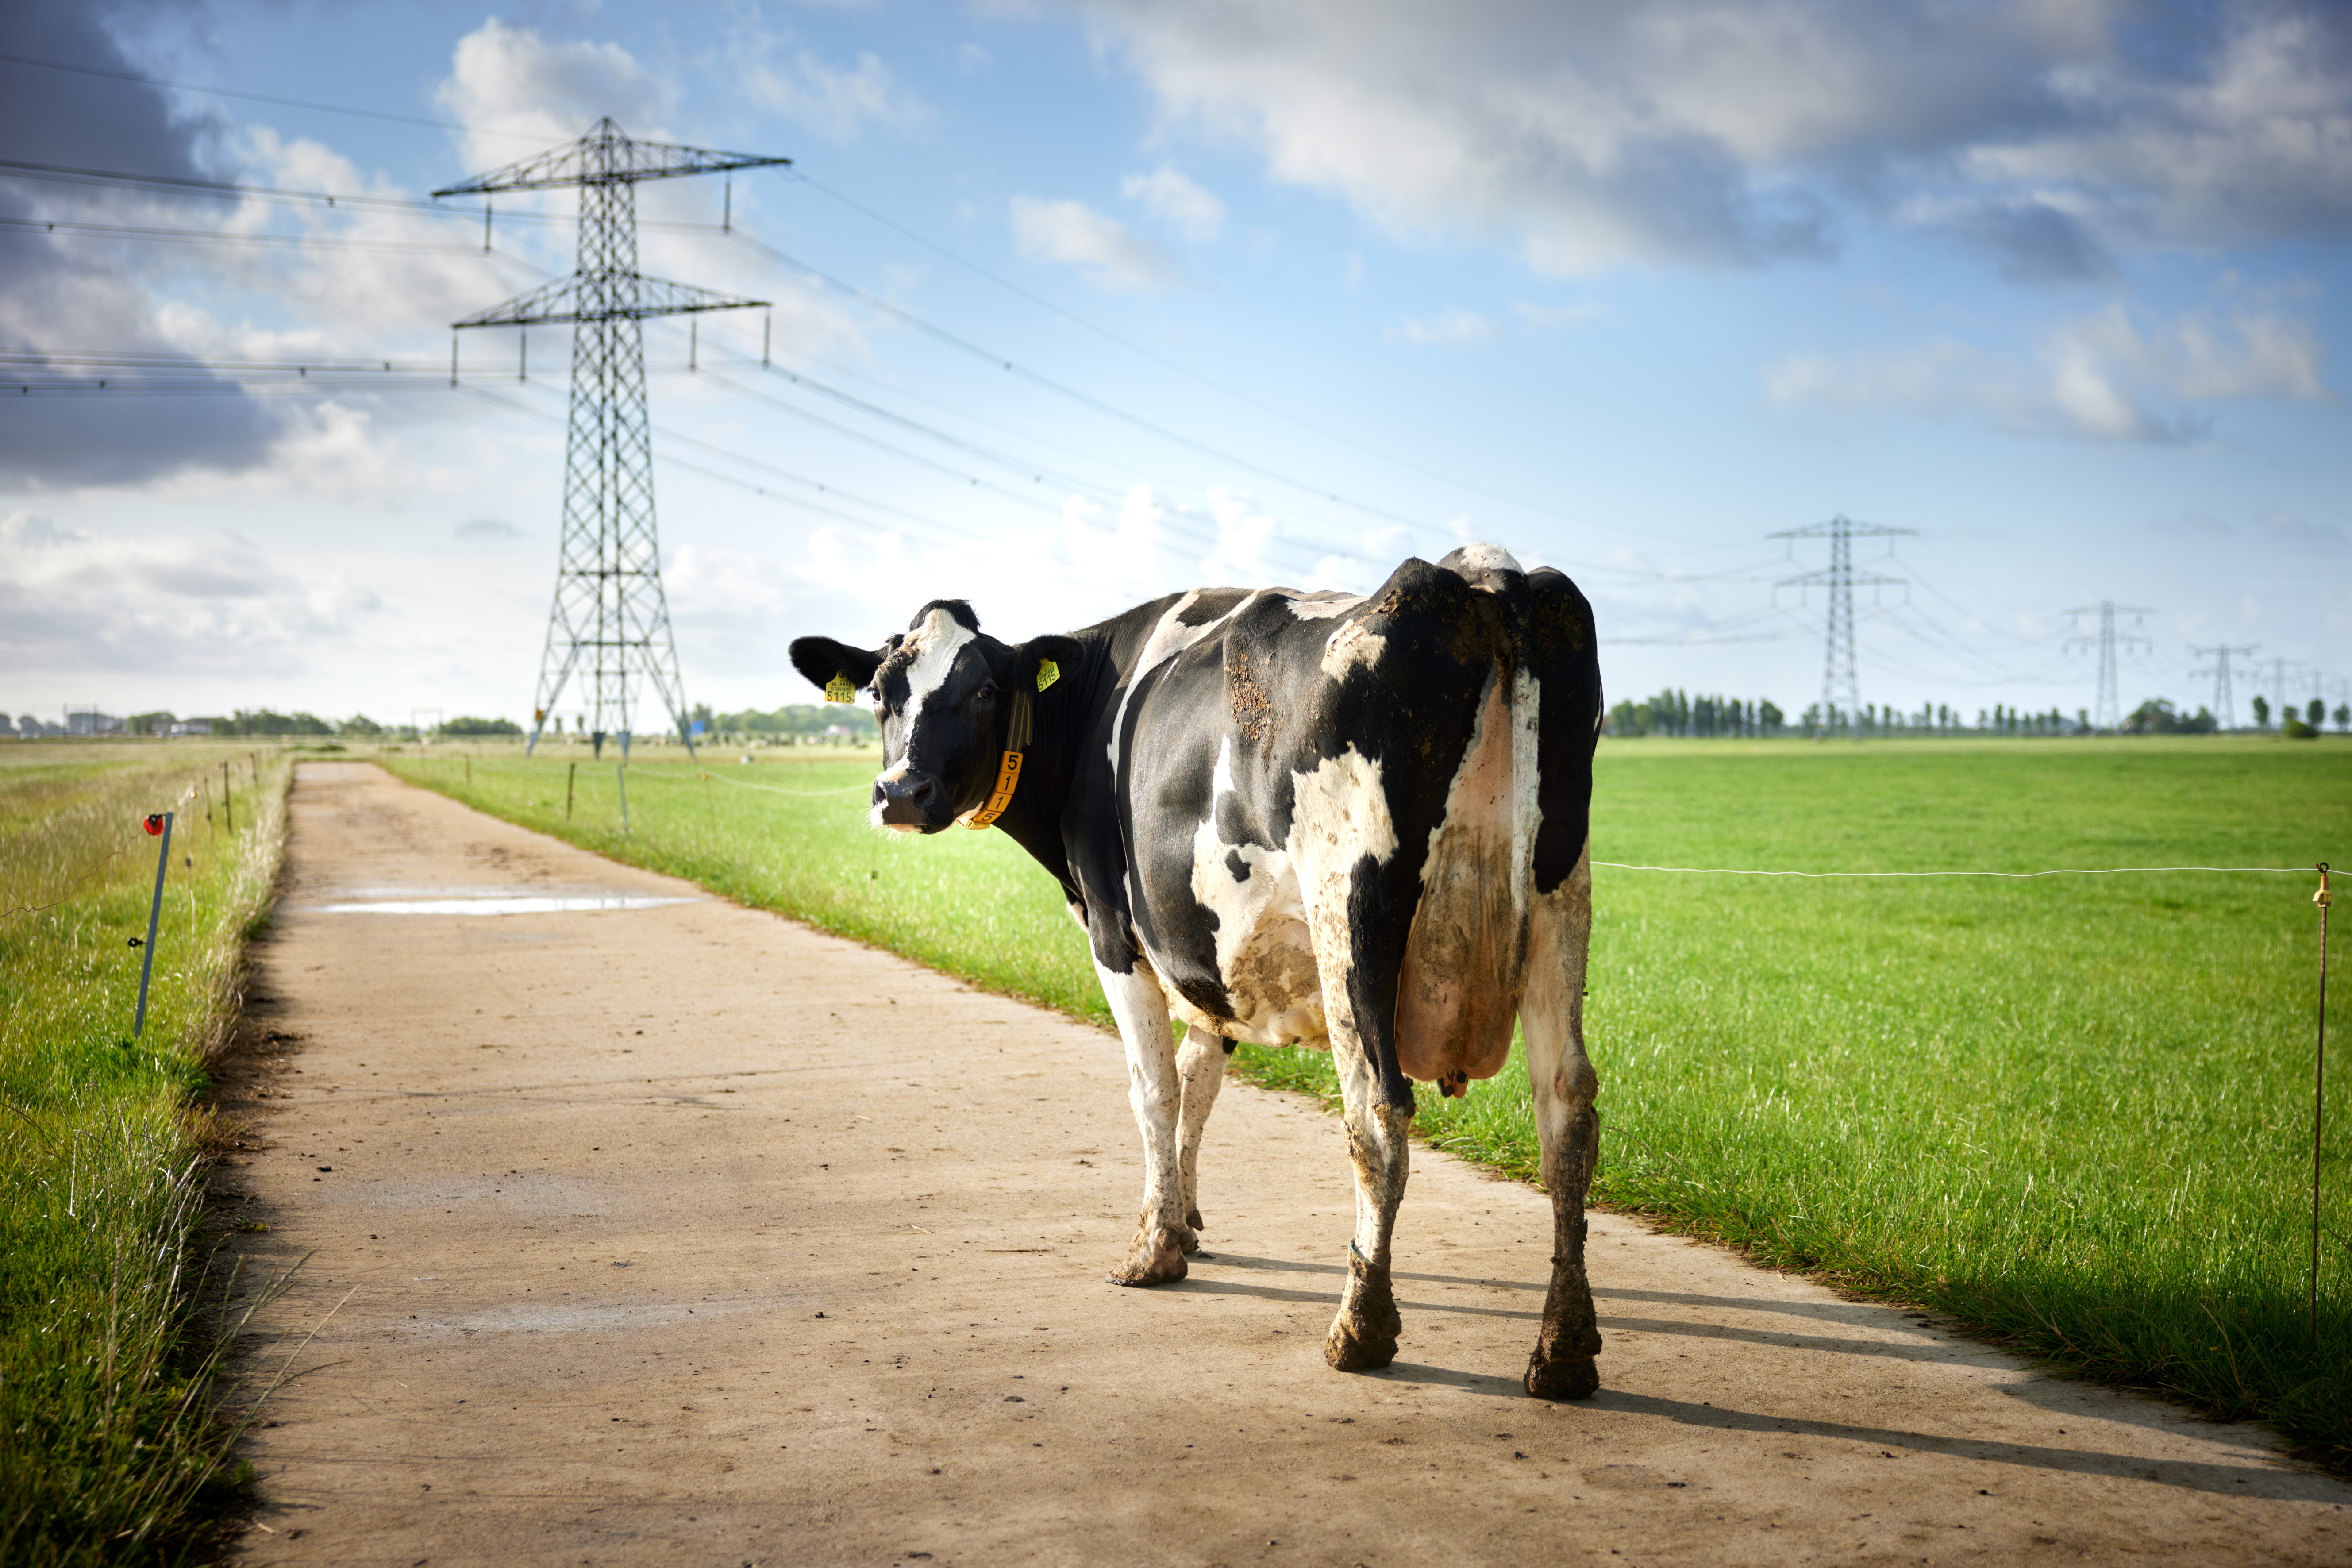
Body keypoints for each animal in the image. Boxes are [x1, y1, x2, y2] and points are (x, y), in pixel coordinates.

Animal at [789, 546, 1606, 1398]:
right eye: (881, 692)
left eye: (983, 689)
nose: (900, 793)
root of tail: (1480, 577)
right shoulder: (1204, 948)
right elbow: (1200, 1077)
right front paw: (1183, 1222)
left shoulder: (1115, 930)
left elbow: (1154, 1088)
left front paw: (1153, 1248)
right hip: (1559, 896)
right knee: (1567, 1109)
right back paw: (1563, 1347)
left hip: (1352, 908)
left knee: (1378, 1111)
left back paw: (1360, 1324)